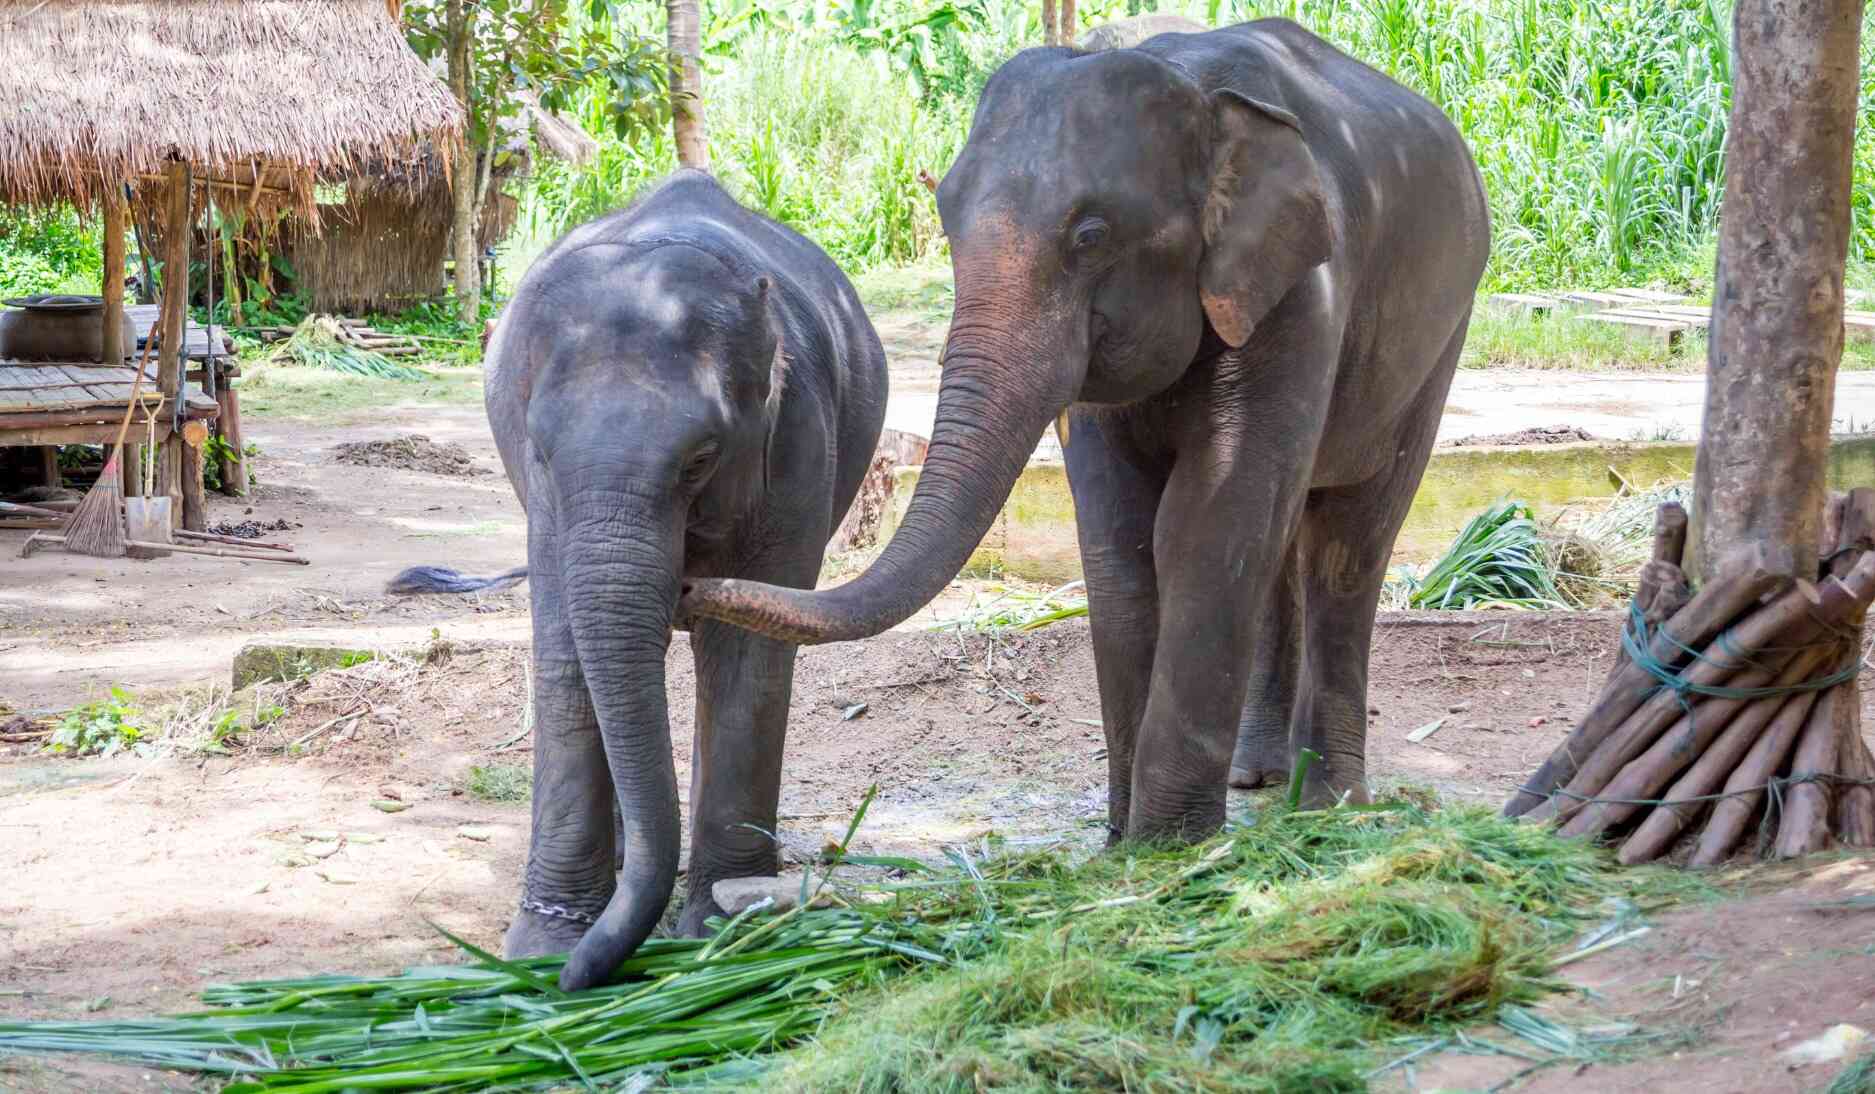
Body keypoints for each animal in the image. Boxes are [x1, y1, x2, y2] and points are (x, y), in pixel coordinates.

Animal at [386, 168, 885, 990]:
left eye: (701, 458)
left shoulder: (797, 447)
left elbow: (747, 657)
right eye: (541, 449)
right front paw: (545, 949)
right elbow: (564, 647)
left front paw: (718, 933)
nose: (574, 981)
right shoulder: (544, 497)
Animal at [682, 25, 1485, 844]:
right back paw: (1255, 776)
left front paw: (1170, 847)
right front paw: (1123, 841)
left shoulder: (1301, 296)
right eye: (945, 220)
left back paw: (1330, 803)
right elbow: (1117, 534)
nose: (687, 587)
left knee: (1350, 541)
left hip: (1440, 335)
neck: (1192, 83)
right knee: (1287, 534)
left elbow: (1207, 526)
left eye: (1091, 235)